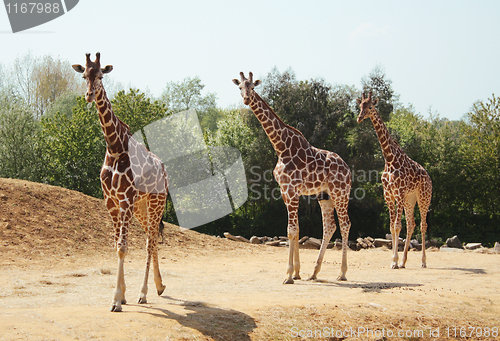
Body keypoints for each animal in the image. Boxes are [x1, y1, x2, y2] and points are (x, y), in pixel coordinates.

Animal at [233, 72, 352, 284]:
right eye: (240, 87)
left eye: (252, 87)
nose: (246, 99)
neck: (281, 147)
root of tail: (347, 168)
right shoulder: (285, 191)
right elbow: (294, 230)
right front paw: (297, 272)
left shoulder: (292, 189)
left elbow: (292, 230)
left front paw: (288, 275)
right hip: (325, 195)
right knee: (329, 226)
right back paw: (314, 272)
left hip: (340, 192)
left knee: (345, 224)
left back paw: (342, 273)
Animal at [356, 90, 434, 268]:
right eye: (360, 105)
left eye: (370, 107)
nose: (359, 118)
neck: (390, 159)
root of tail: (429, 177)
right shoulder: (389, 195)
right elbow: (392, 227)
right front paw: (395, 260)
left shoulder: (399, 193)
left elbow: (397, 226)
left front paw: (394, 261)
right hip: (410, 199)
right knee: (412, 224)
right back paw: (404, 261)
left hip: (423, 197)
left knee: (423, 225)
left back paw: (423, 262)